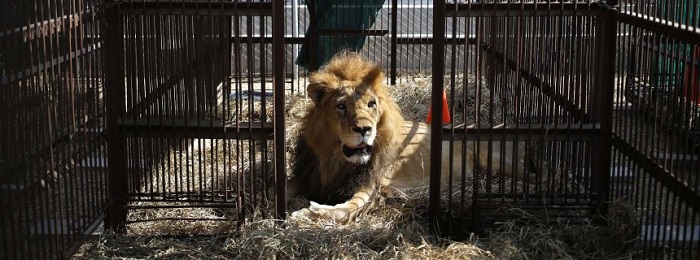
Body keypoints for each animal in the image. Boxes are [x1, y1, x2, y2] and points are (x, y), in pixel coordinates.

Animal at [284, 51, 536, 223]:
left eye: (371, 104)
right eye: (341, 106)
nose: (365, 129)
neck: (335, 159)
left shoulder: (370, 186)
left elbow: (345, 208)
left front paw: (308, 213)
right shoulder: (308, 177)